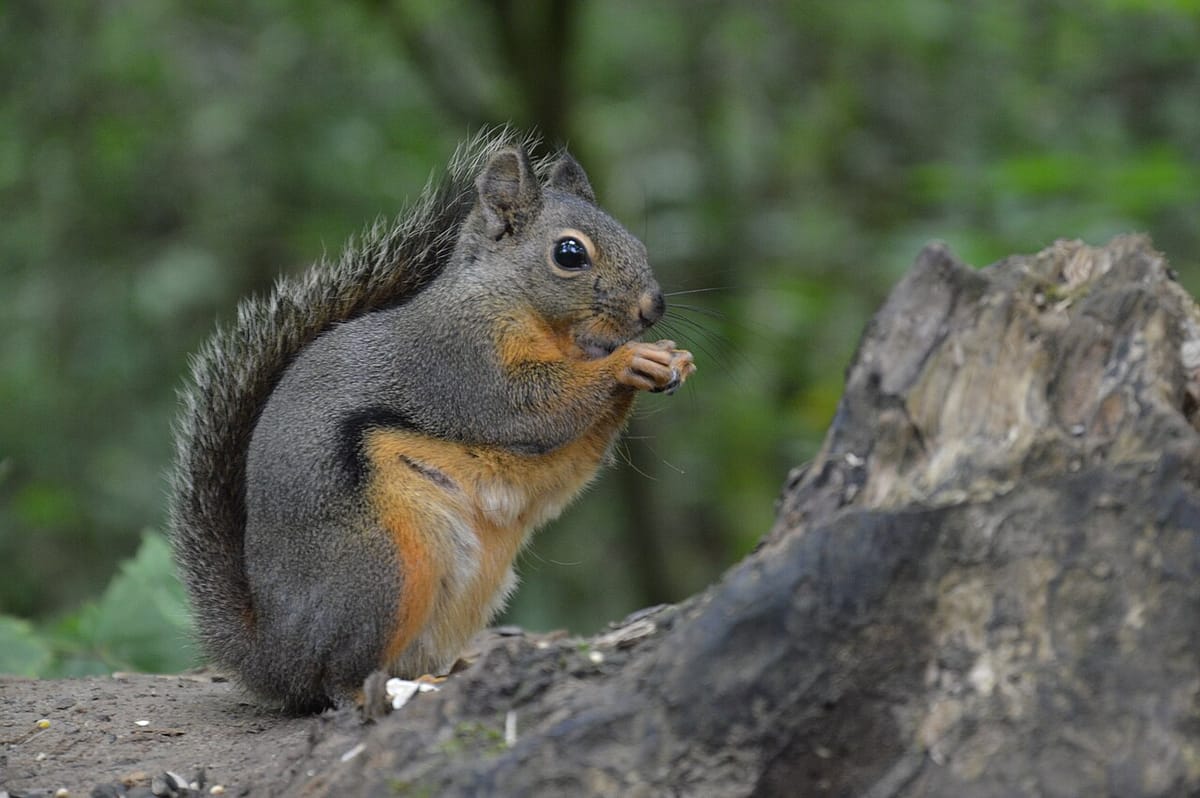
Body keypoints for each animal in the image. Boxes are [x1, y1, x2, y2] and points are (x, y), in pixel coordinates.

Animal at [168, 130, 695, 712]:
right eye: (569, 254)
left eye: (638, 242)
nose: (654, 307)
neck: (511, 301)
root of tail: (272, 657)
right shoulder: (461, 363)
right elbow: (535, 408)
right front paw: (629, 361)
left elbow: (570, 458)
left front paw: (671, 360)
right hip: (380, 572)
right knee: (335, 678)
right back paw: (380, 691)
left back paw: (447, 673)